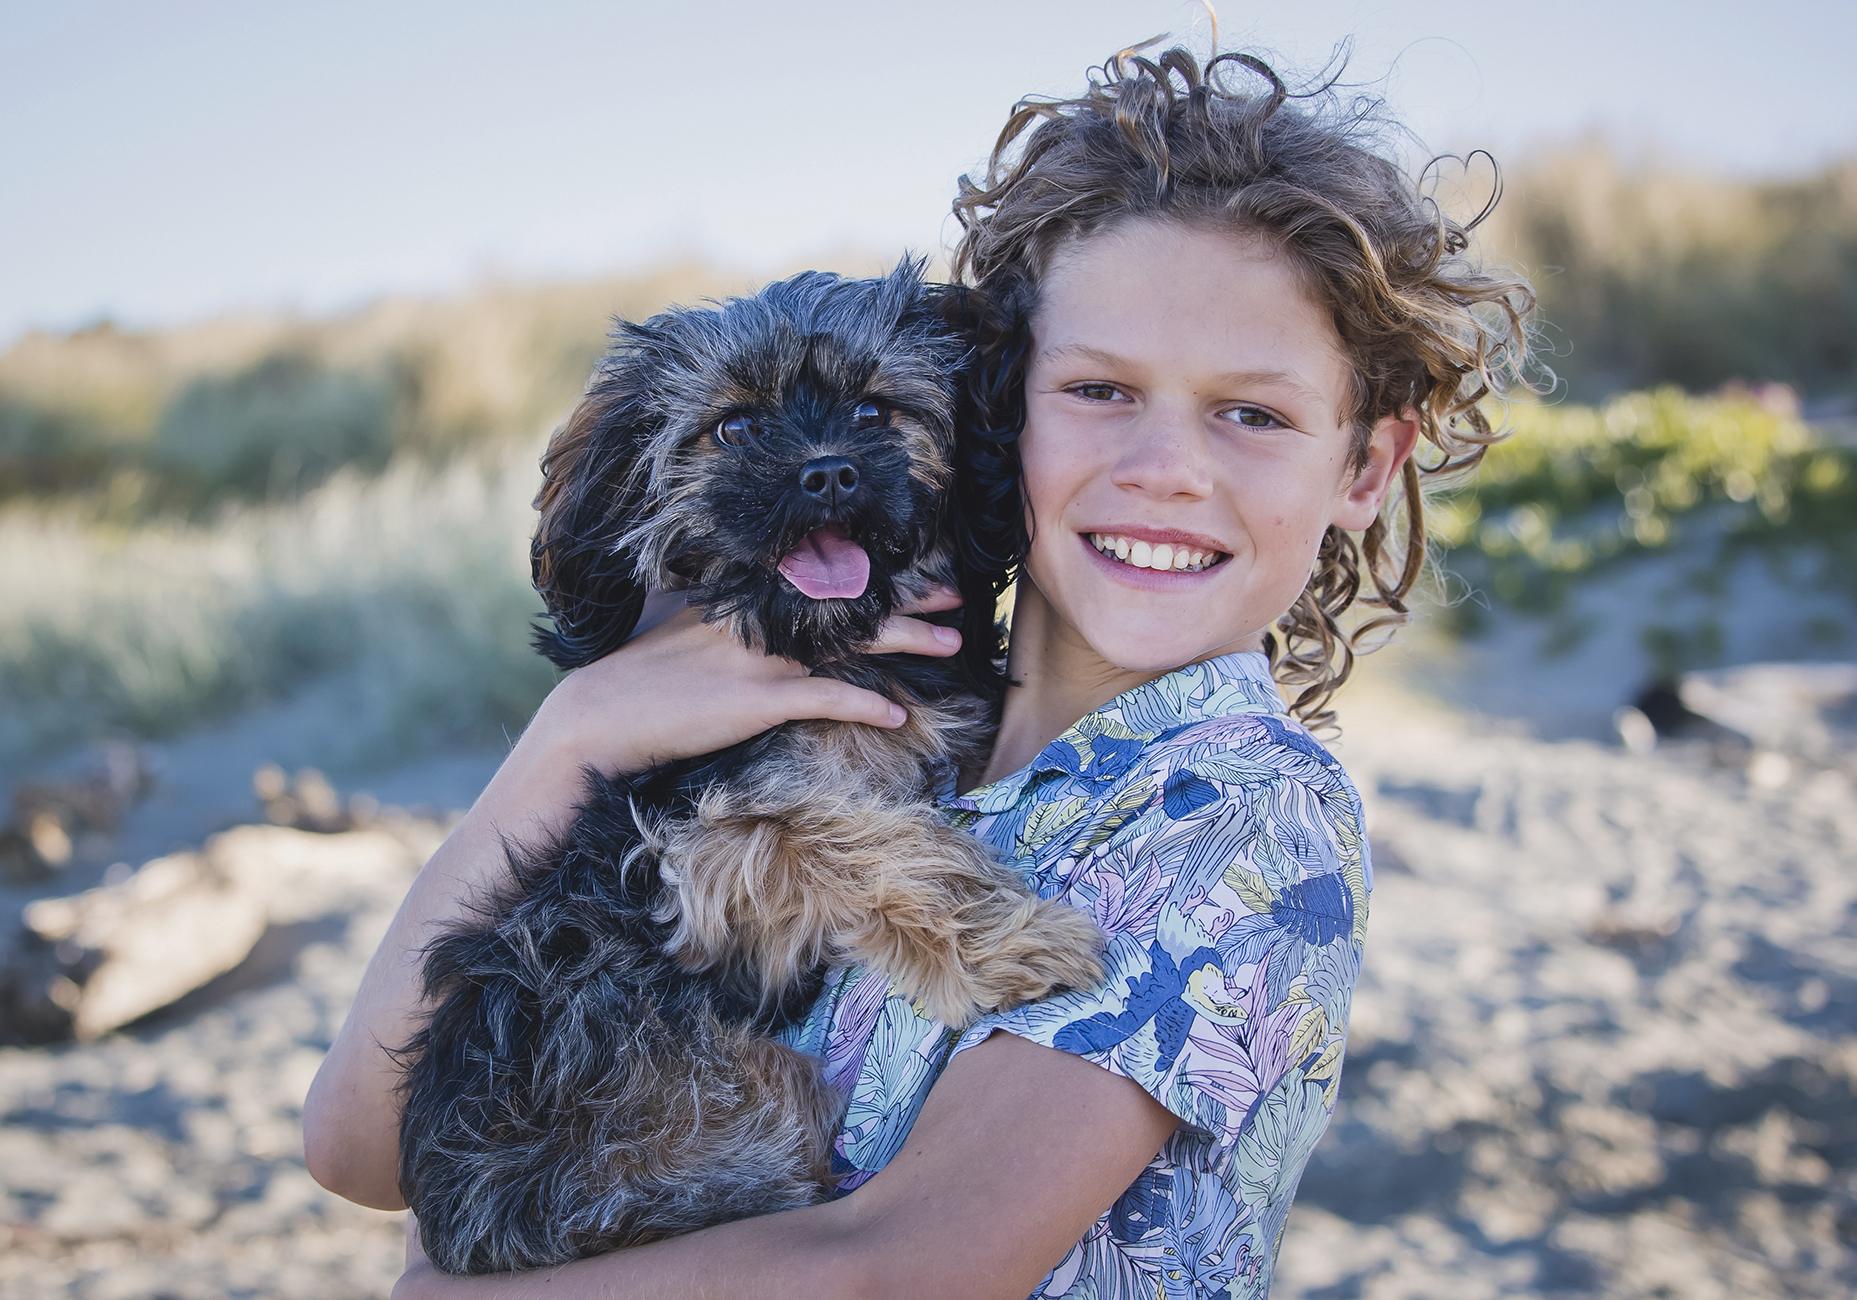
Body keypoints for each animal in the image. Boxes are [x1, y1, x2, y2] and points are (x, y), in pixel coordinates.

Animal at [395, 261, 1099, 1270]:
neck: (824, 648)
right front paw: (1015, 939)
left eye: (875, 411)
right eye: (732, 428)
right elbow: (872, 839)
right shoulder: (700, 839)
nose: (828, 470)